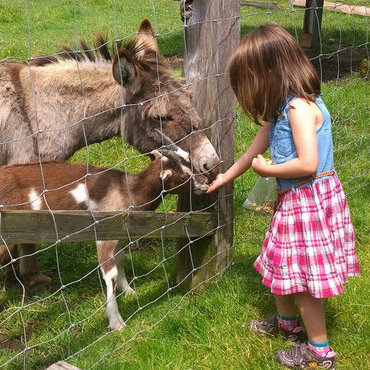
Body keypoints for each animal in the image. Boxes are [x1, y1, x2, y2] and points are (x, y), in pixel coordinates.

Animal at [0, 150, 208, 330]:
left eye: (190, 163)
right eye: (183, 176)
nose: (206, 182)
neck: (128, 190)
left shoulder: (118, 231)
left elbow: (121, 260)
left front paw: (129, 291)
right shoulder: (103, 231)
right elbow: (110, 274)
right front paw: (116, 321)